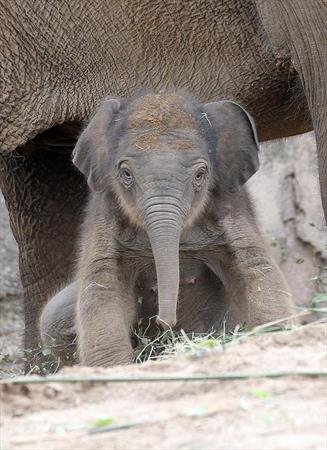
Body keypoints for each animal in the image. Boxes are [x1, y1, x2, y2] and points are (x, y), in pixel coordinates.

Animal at [39, 93, 294, 368]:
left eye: (200, 175)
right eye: (126, 174)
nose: (165, 323)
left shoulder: (231, 205)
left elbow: (256, 268)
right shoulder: (104, 212)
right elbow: (102, 283)